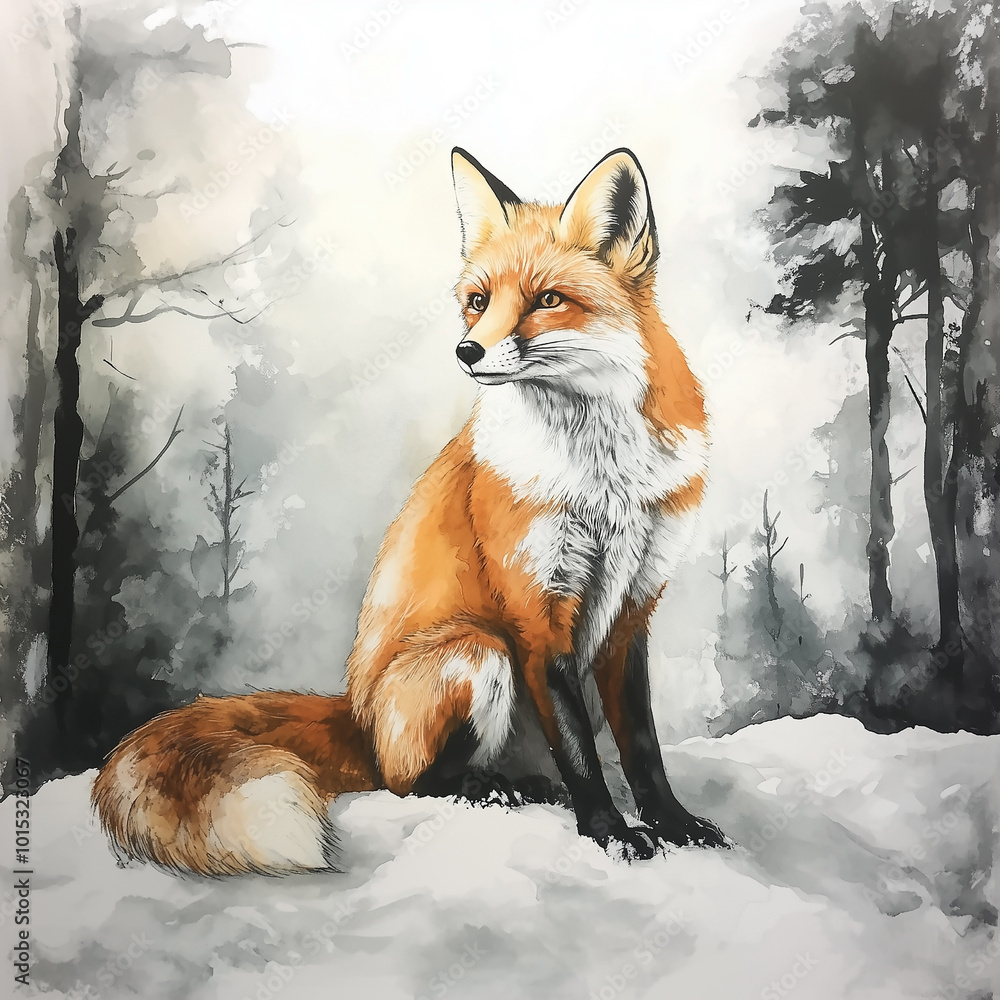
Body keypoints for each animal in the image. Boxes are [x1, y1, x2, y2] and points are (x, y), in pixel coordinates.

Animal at [92, 146, 726, 877]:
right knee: (407, 783)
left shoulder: (633, 610)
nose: (468, 351)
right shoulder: (536, 614)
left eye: (548, 300)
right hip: (476, 650)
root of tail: (358, 715)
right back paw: (489, 786)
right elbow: (580, 753)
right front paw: (608, 830)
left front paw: (671, 821)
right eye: (478, 302)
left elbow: (642, 749)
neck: (604, 477)